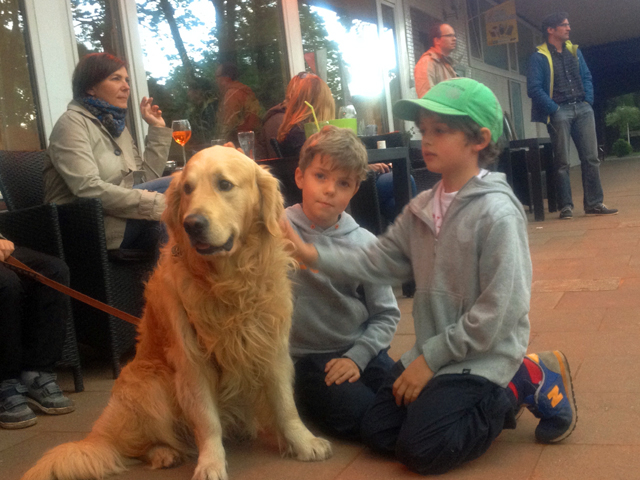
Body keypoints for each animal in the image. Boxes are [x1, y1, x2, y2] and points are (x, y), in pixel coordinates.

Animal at [22, 146, 332, 480]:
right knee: (134, 448)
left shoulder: (271, 346)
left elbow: (285, 405)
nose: (192, 224)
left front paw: (303, 442)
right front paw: (211, 463)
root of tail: (99, 433)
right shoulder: (192, 363)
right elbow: (208, 422)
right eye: (187, 189)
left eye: (224, 184)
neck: (228, 282)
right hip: (151, 385)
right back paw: (164, 453)